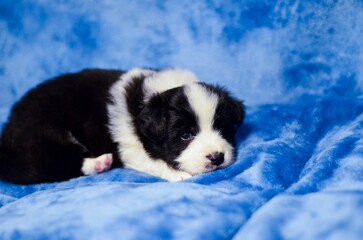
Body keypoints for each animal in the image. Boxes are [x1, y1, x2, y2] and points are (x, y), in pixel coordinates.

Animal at [0, 68, 246, 184]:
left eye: (222, 128)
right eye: (185, 135)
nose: (216, 157)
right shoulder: (129, 146)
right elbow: (151, 160)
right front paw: (180, 175)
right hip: (42, 134)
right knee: (56, 164)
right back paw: (99, 163)